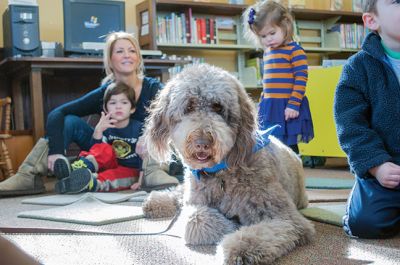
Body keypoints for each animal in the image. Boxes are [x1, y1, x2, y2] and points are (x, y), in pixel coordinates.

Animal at [142, 64, 314, 264]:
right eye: (189, 106)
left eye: (218, 107)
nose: (202, 143)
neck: (219, 174)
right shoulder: (195, 199)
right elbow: (194, 218)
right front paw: (229, 224)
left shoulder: (286, 218)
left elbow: (254, 235)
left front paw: (236, 247)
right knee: (178, 192)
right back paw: (156, 201)